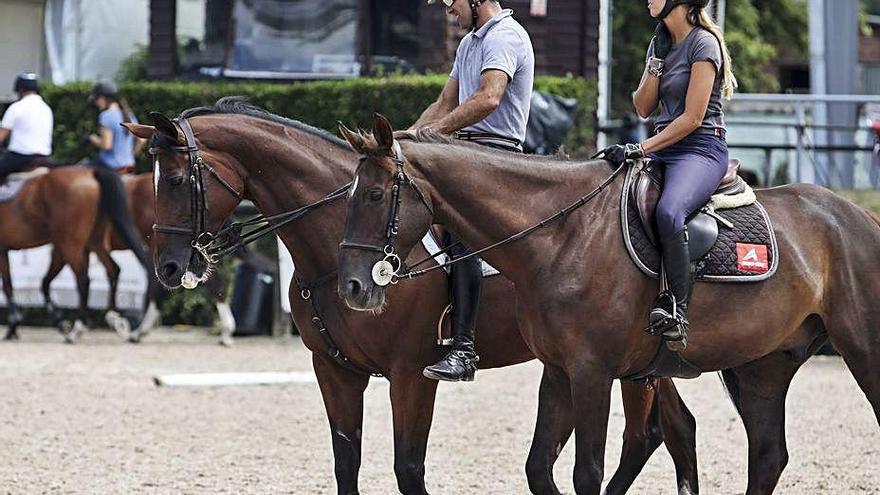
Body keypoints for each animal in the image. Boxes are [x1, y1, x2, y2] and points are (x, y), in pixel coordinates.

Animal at [124, 98, 700, 495]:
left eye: (175, 180)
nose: (169, 268)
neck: (334, 249)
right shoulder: (334, 371)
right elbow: (346, 463)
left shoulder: (410, 373)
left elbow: (408, 468)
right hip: (647, 360)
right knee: (671, 429)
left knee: (649, 434)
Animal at [336, 114, 880, 494]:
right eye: (350, 196)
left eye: (376, 195)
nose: (353, 287)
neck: (561, 234)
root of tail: (859, 217)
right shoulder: (558, 371)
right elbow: (539, 469)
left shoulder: (591, 371)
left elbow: (586, 473)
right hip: (763, 365)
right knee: (767, 456)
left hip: (862, 352)